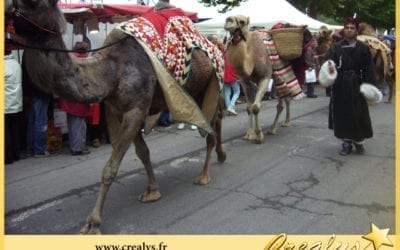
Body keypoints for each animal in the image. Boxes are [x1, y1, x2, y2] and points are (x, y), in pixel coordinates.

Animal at [5, 0, 228, 234]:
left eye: (33, 3)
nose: (7, 11)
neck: (112, 71)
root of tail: (217, 45)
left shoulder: (136, 109)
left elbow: (110, 168)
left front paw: (93, 223)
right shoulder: (118, 110)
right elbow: (142, 152)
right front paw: (152, 191)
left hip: (212, 84)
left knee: (212, 125)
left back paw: (204, 174)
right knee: (216, 121)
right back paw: (221, 156)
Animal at [225, 14, 304, 142]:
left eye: (242, 21)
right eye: (229, 19)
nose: (228, 20)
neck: (251, 58)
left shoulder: (265, 77)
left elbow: (256, 107)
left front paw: (259, 135)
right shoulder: (244, 81)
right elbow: (249, 108)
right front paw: (249, 134)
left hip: (280, 73)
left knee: (282, 103)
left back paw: (274, 128)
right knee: (286, 98)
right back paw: (285, 123)